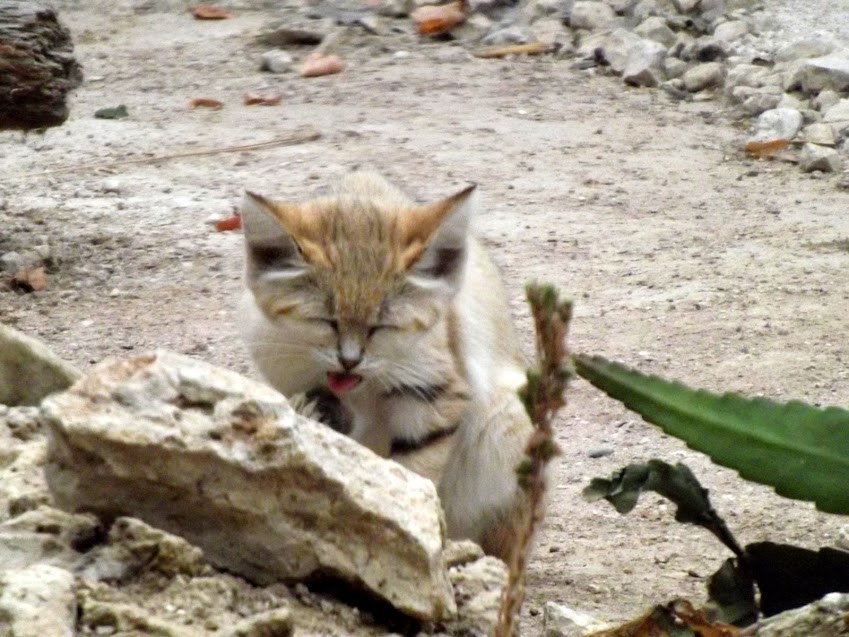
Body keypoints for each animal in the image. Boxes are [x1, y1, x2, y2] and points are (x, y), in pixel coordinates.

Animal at [238, 171, 532, 560]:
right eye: (326, 321)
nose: (349, 361)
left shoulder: (434, 391)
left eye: (382, 327)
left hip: (509, 420)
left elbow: (414, 472)